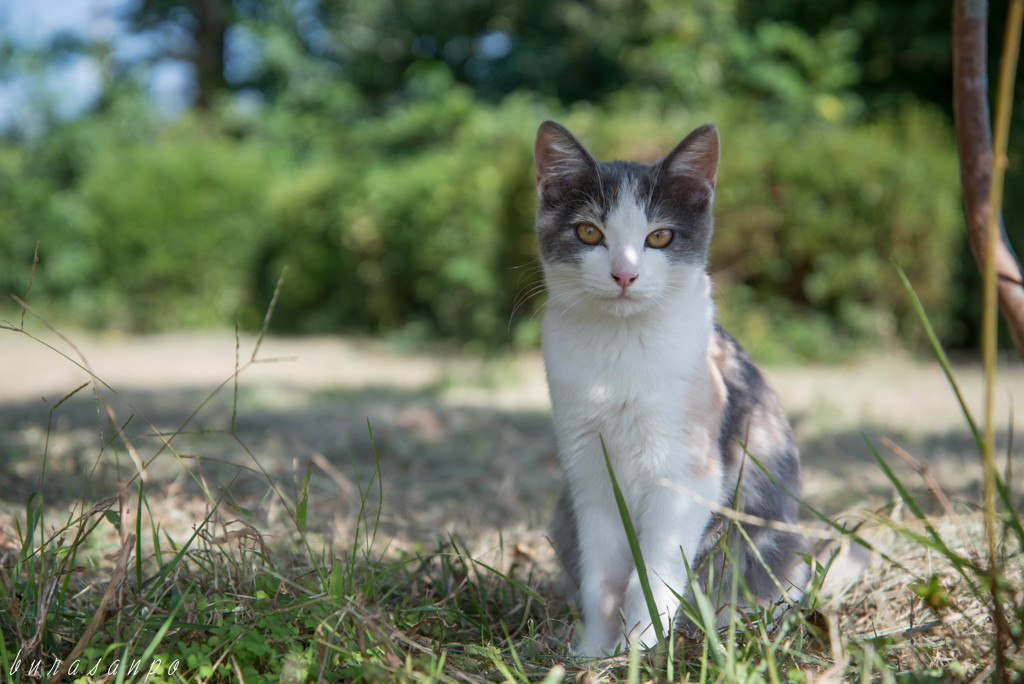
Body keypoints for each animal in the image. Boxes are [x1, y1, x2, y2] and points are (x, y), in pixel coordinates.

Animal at [540, 120, 811, 655]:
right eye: (589, 232)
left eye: (660, 236)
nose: (624, 274)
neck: (620, 349)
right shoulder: (588, 471)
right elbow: (601, 575)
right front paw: (594, 652)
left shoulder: (691, 472)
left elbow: (656, 568)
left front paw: (640, 647)